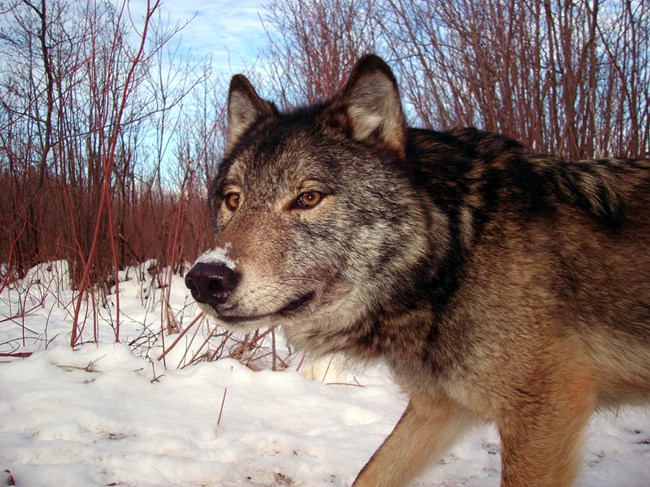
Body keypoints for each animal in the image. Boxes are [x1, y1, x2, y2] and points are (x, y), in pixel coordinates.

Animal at [186, 54, 648, 487]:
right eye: (233, 200)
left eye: (308, 198)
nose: (206, 279)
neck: (456, 256)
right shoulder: (439, 408)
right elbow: (370, 473)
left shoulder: (542, 413)